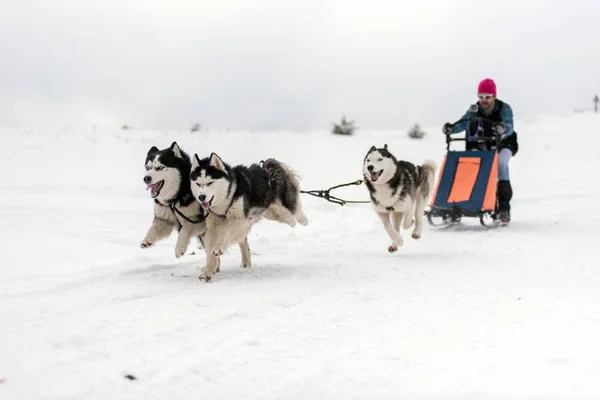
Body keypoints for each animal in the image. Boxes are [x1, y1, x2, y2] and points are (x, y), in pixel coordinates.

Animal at [142, 142, 245, 270]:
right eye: (147, 167)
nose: (146, 178)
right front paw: (147, 240)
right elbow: (154, 227)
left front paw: (179, 248)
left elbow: (185, 229)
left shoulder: (199, 220)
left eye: (160, 167)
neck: (176, 196)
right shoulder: (164, 218)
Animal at [189, 153, 310, 282]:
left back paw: (304, 220)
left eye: (210, 182)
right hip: (270, 212)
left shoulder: (240, 222)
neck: (226, 200)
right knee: (288, 219)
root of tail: (267, 166)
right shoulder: (212, 228)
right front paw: (208, 271)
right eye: (198, 183)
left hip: (285, 204)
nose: (201, 197)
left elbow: (226, 233)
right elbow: (210, 251)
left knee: (295, 211)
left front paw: (219, 247)